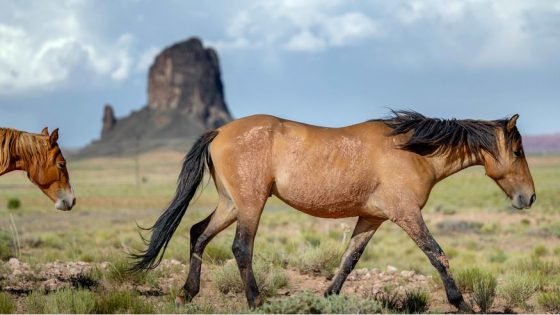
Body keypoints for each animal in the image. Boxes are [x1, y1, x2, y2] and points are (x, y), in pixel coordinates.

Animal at [131, 110, 532, 312]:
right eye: (517, 151)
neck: (414, 151)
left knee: (198, 233)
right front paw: (461, 303)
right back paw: (256, 300)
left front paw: (326, 297)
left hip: (230, 204)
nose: (529, 198)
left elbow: (349, 259)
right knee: (240, 247)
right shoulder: (407, 215)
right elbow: (437, 254)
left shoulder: (372, 218)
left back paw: (187, 293)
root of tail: (219, 131)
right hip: (250, 204)